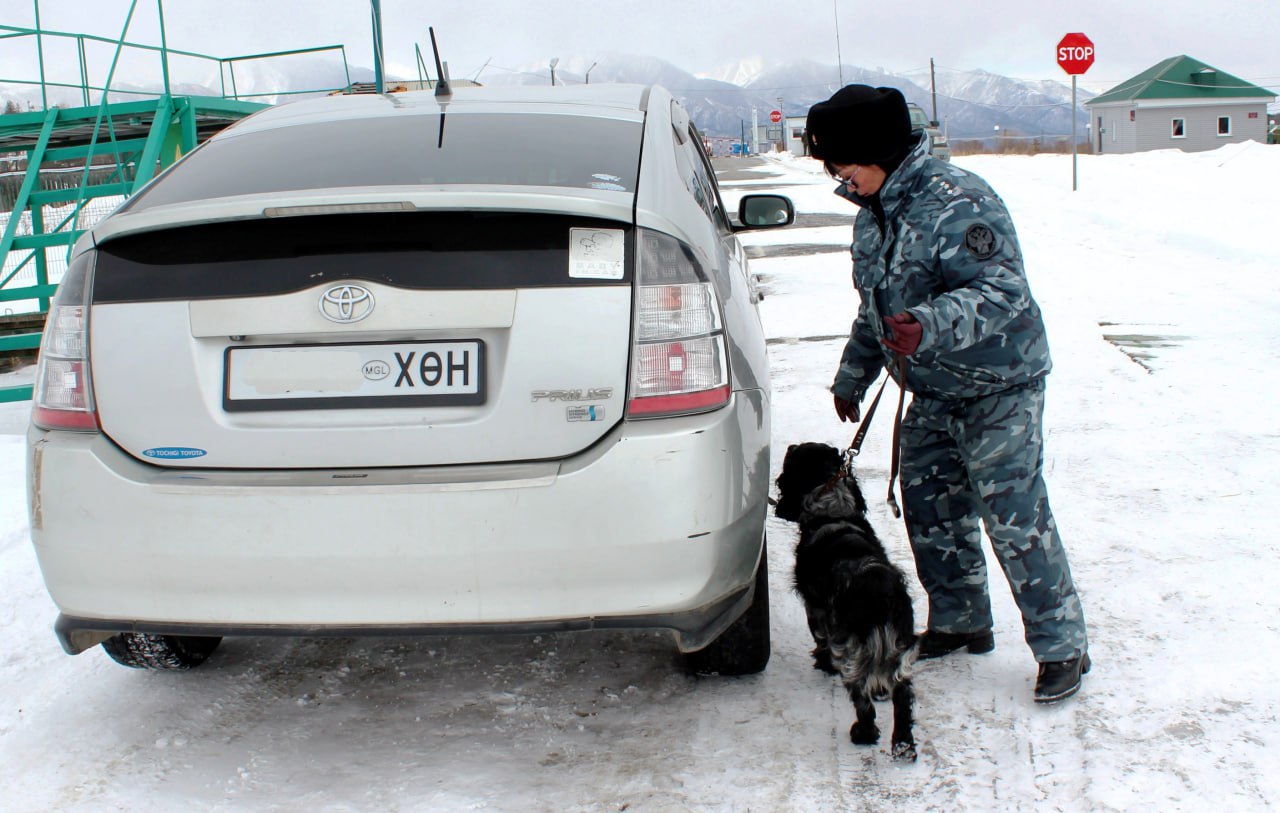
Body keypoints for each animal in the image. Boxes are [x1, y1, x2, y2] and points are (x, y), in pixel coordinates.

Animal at [768, 442, 921, 757]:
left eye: (795, 455)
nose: (790, 445)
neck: (834, 512)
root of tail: (880, 591)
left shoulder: (815, 609)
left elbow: (820, 640)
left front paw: (821, 662)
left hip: (850, 648)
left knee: (861, 697)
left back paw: (863, 733)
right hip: (898, 644)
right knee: (902, 693)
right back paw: (903, 745)